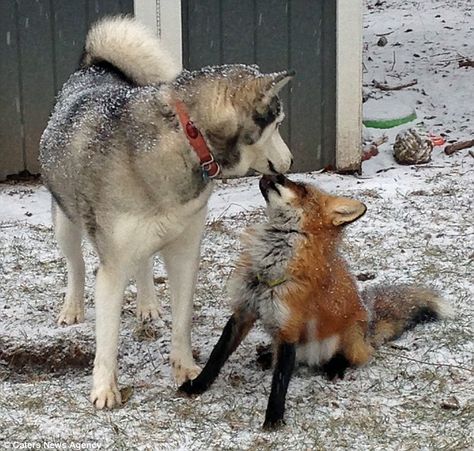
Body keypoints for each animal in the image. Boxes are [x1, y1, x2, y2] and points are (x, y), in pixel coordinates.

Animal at [39, 16, 292, 410]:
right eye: (278, 124)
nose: (290, 162)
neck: (187, 137)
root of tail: (92, 66)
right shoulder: (112, 267)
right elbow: (107, 338)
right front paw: (104, 388)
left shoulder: (185, 251)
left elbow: (182, 319)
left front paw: (185, 368)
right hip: (65, 224)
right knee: (76, 265)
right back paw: (73, 308)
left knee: (142, 265)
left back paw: (148, 304)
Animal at [179, 174, 452, 430]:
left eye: (300, 187)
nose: (272, 172)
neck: (270, 266)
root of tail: (368, 326)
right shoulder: (244, 311)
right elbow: (218, 355)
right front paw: (197, 386)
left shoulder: (289, 326)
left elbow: (280, 381)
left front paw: (273, 419)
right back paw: (266, 356)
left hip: (348, 338)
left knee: (357, 357)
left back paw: (335, 367)